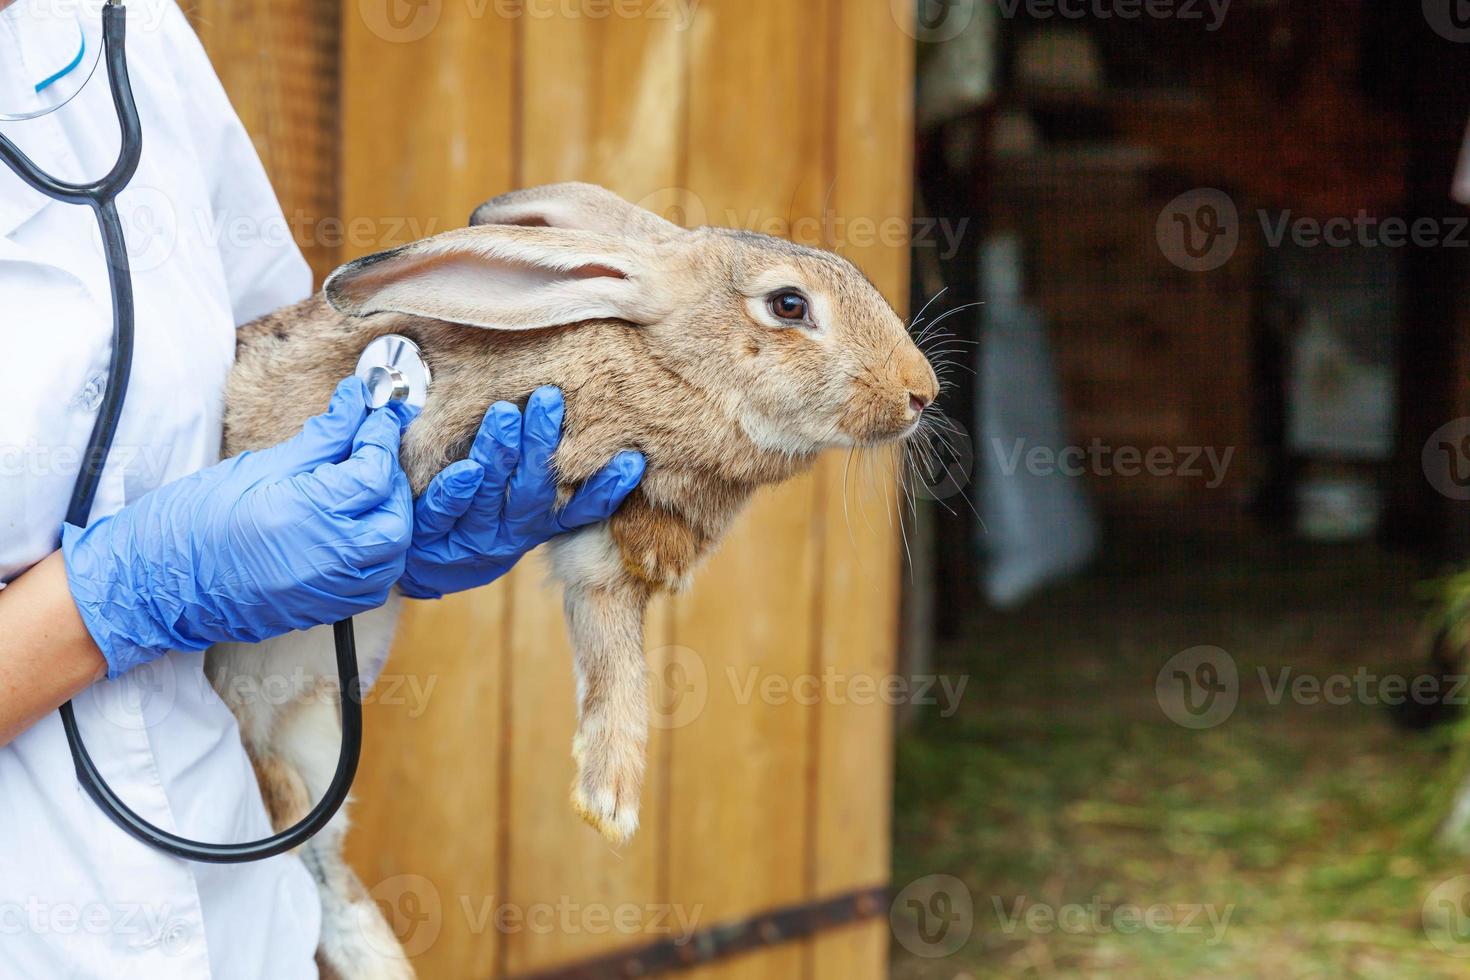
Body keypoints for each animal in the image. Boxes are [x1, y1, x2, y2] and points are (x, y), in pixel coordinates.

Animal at [204, 182, 929, 975]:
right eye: (789, 305)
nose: (921, 392)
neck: (665, 364)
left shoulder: (603, 551)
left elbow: (615, 658)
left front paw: (607, 801)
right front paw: (613, 805)